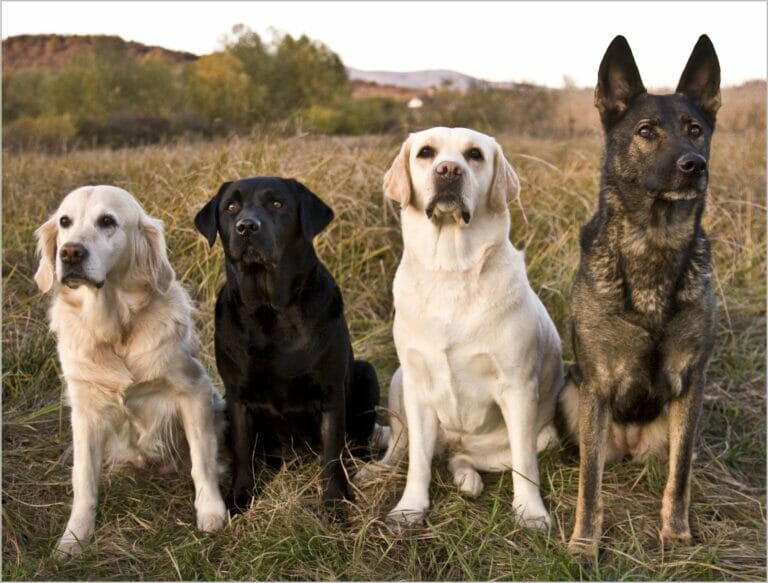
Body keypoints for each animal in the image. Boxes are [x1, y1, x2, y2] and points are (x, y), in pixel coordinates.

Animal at [560, 35, 720, 556]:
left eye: (695, 130)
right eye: (646, 131)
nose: (694, 166)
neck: (654, 241)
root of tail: (628, 447)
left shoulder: (691, 384)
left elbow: (680, 476)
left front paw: (676, 531)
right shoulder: (596, 386)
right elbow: (589, 483)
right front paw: (584, 544)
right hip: (572, 392)